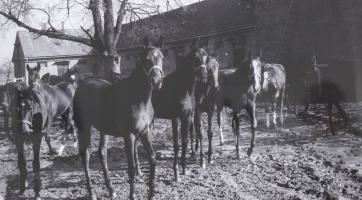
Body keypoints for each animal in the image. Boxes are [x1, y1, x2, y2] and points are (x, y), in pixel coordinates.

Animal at [73, 36, 163, 200]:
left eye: (162, 57)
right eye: (146, 59)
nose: (157, 81)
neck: (138, 99)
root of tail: (82, 84)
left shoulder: (145, 132)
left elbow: (153, 158)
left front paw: (152, 193)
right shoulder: (129, 135)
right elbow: (131, 167)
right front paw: (132, 195)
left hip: (104, 129)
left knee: (102, 153)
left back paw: (111, 189)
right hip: (84, 127)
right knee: (85, 155)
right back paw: (92, 192)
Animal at [151, 37, 208, 181]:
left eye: (206, 56)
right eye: (195, 57)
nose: (204, 75)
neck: (183, 87)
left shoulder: (186, 118)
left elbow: (186, 141)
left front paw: (184, 169)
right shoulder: (175, 118)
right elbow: (177, 145)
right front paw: (176, 173)